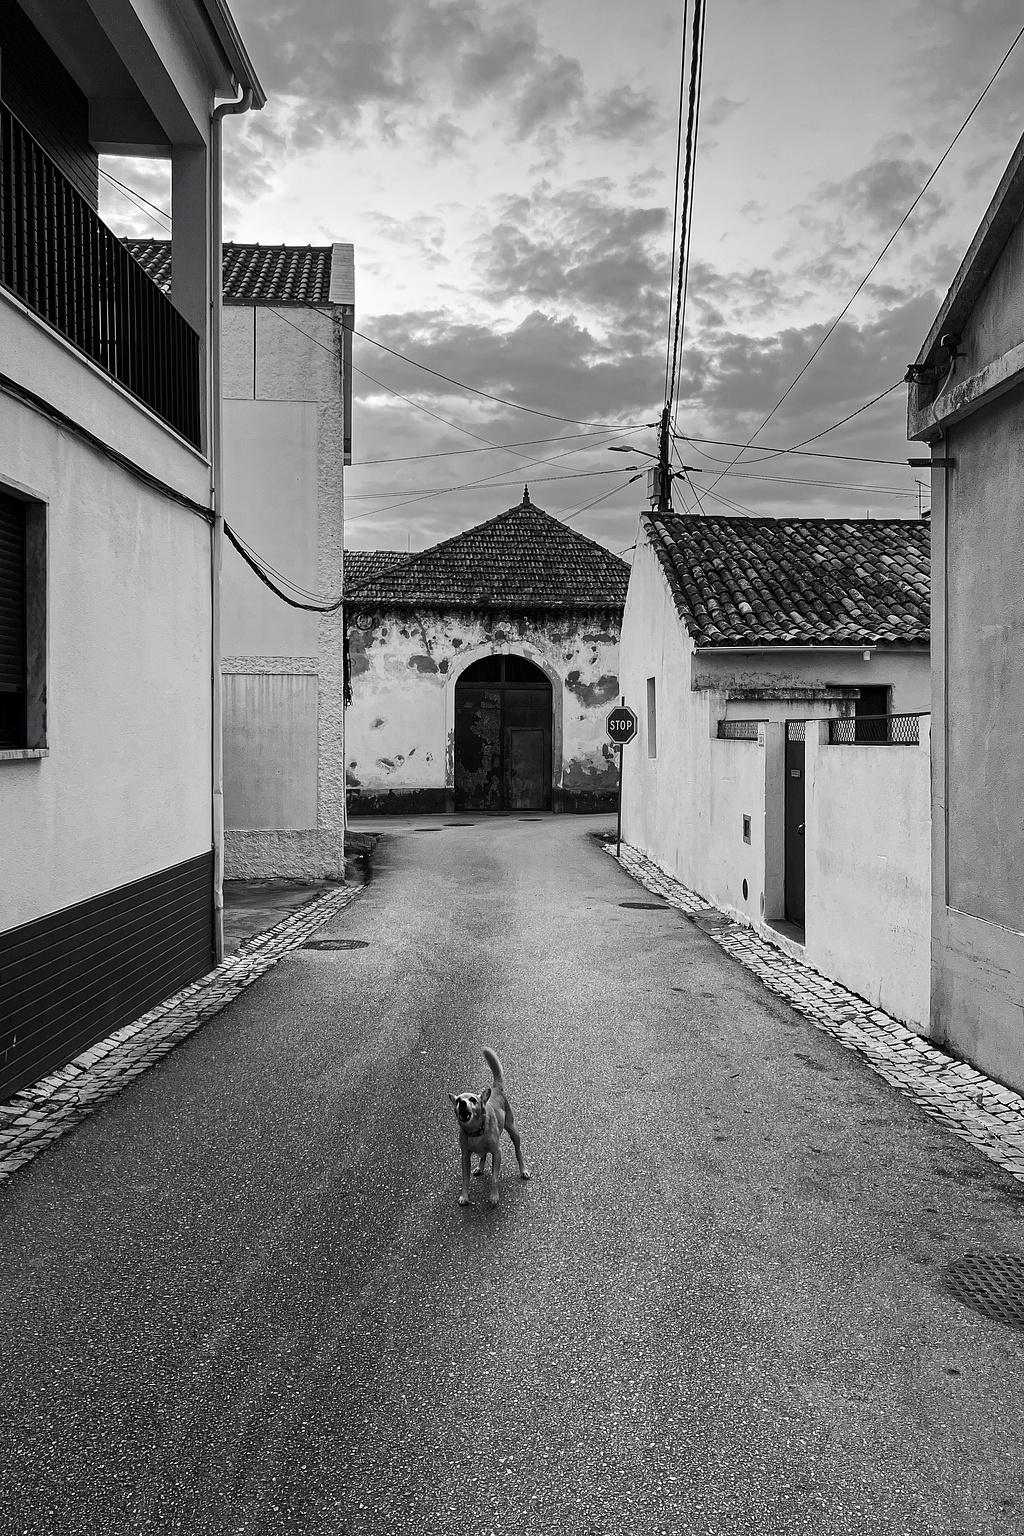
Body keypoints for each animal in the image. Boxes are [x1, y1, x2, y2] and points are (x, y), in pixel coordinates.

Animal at [448, 1050, 534, 1204]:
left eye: (472, 1100)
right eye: (458, 1100)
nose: (462, 1103)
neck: (475, 1131)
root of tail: (496, 1089)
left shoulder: (497, 1152)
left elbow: (494, 1177)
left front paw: (494, 1197)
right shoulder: (465, 1157)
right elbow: (465, 1179)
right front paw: (464, 1196)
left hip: (513, 1131)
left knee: (518, 1151)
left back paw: (523, 1170)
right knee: (483, 1155)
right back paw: (480, 1167)